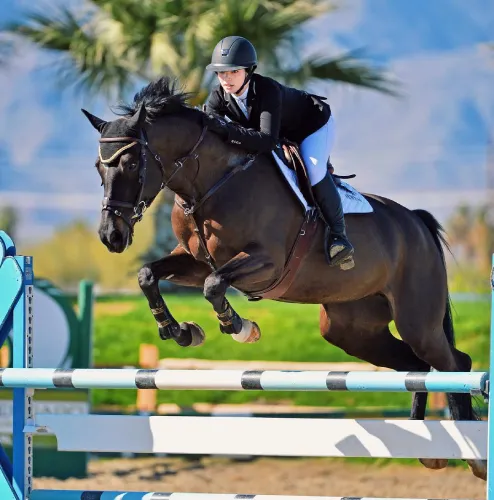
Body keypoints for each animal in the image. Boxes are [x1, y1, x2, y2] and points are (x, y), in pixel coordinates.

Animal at [82, 75, 486, 480]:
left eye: (132, 162)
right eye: (99, 168)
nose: (110, 236)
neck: (212, 183)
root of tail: (416, 221)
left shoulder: (265, 263)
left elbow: (215, 287)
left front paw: (240, 327)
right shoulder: (195, 262)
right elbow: (148, 275)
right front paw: (180, 331)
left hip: (417, 320)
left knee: (454, 364)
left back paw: (474, 458)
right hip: (351, 329)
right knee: (417, 367)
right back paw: (428, 449)